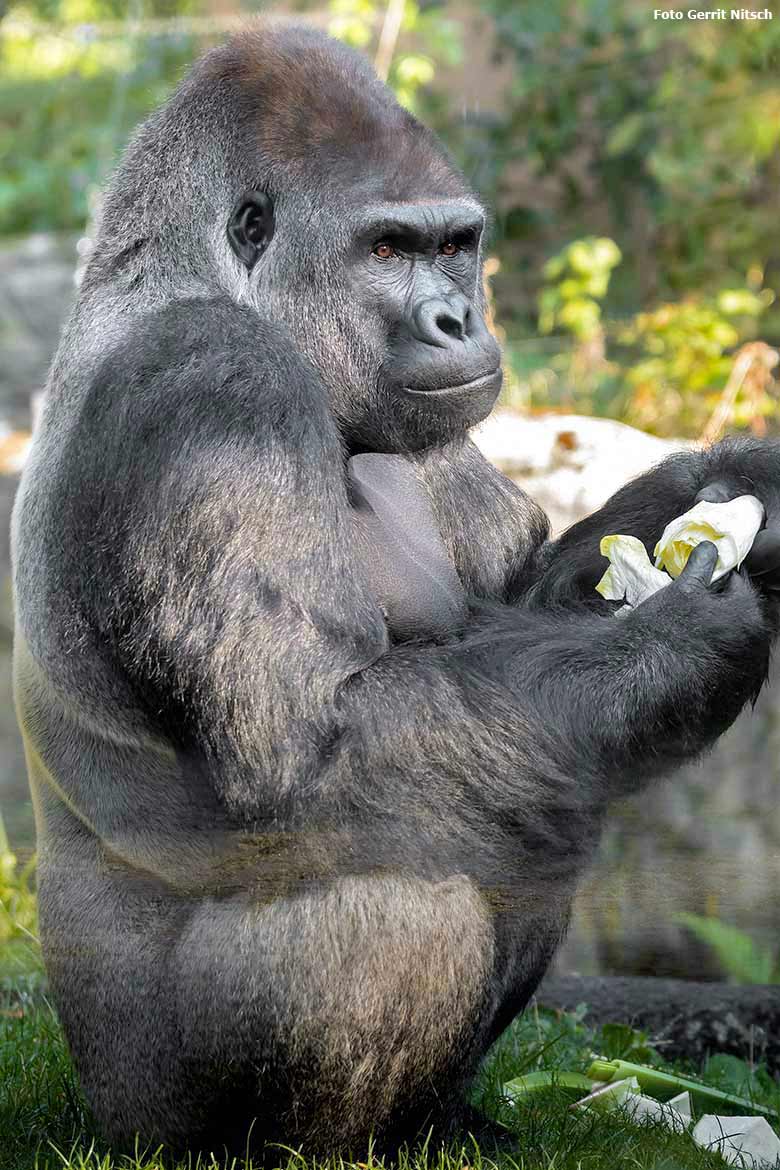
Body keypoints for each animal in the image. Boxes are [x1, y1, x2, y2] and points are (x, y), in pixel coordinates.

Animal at [9, 22, 780, 1165]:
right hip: (148, 1116)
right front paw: (678, 644)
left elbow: (525, 613)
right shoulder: (215, 383)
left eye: (455, 244)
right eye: (384, 251)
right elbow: (304, 747)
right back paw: (306, 1149)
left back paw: (445, 1122)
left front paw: (723, 490)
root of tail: (98, 1114)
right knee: (400, 888)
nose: (458, 318)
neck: (185, 277)